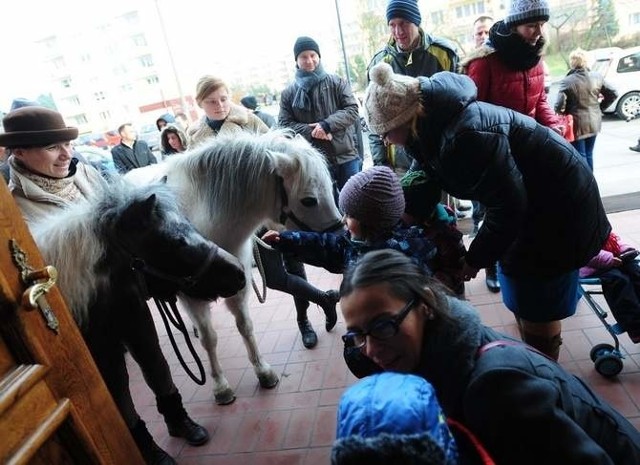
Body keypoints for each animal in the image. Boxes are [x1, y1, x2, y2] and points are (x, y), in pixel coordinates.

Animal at [126, 129, 344, 404]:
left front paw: (263, 371)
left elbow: (245, 326)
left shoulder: (239, 283)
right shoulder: (191, 296)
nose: (339, 239)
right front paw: (220, 386)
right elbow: (209, 339)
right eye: (308, 200)